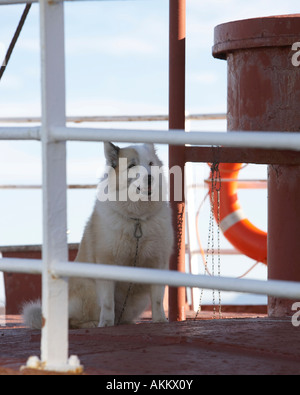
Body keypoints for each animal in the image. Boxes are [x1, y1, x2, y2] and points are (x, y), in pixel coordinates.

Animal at [22, 144, 173, 330]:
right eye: (132, 165)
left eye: (151, 163)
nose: (150, 178)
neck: (137, 219)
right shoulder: (106, 263)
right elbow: (107, 303)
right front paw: (106, 324)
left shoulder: (159, 262)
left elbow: (158, 299)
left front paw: (160, 321)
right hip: (89, 291)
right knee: (73, 321)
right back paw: (94, 323)